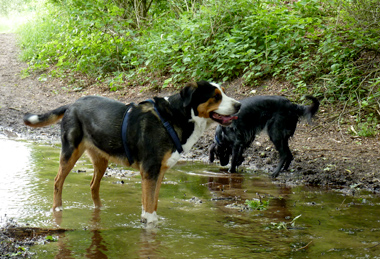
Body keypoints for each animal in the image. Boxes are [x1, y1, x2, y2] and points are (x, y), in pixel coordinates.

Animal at [24, 81, 240, 225]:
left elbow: (152, 203)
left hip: (101, 160)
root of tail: (72, 104)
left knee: (93, 186)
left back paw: (99, 209)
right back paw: (58, 208)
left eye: (224, 93)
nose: (239, 105)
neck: (174, 117)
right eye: (216, 96)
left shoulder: (158, 173)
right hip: (70, 153)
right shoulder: (150, 172)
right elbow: (149, 208)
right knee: (57, 181)